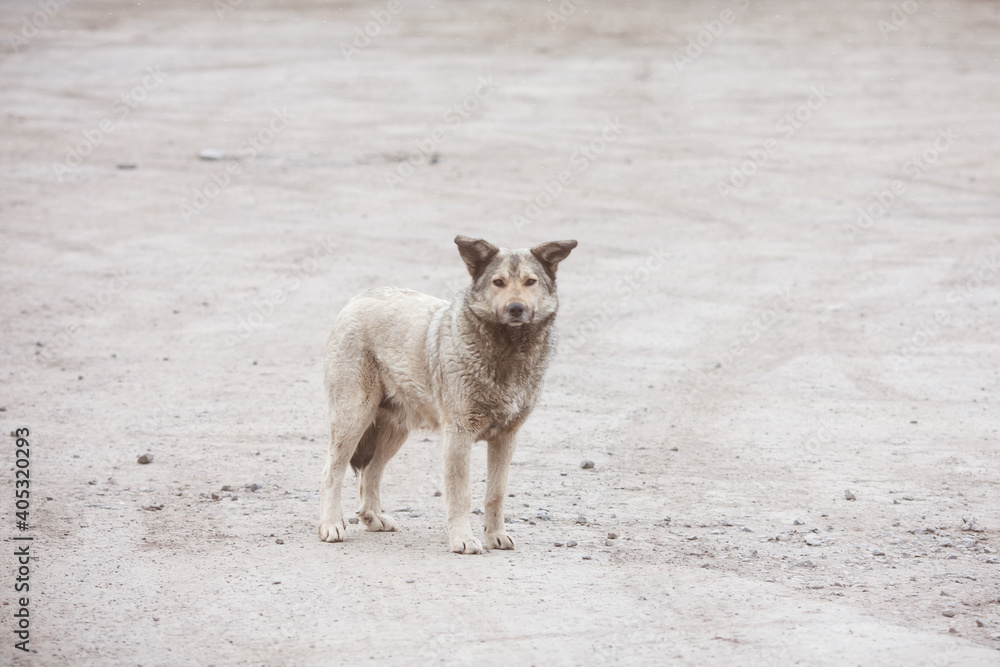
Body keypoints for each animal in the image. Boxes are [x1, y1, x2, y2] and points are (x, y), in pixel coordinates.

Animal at [316, 235, 576, 552]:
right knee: (332, 472)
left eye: (530, 282)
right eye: (498, 282)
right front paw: (463, 539)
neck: (507, 351)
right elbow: (461, 495)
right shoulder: (458, 437)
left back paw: (373, 517)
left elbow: (496, 493)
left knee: (370, 473)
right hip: (353, 420)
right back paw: (331, 525)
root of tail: (356, 300)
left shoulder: (506, 439)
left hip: (394, 433)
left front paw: (495, 535)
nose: (516, 308)